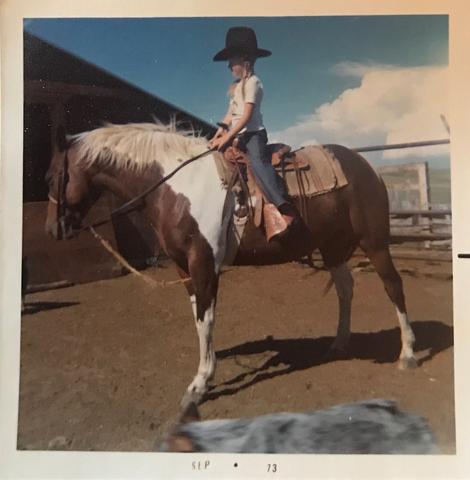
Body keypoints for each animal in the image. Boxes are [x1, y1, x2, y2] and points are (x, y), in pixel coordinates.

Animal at [44, 122, 416, 406]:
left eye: (51, 176)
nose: (52, 230)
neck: (176, 187)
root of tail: (368, 168)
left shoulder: (203, 263)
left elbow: (206, 319)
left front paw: (199, 385)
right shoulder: (184, 269)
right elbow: (199, 319)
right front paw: (205, 373)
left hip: (374, 242)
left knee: (393, 286)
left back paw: (408, 354)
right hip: (333, 246)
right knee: (345, 288)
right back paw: (339, 344)